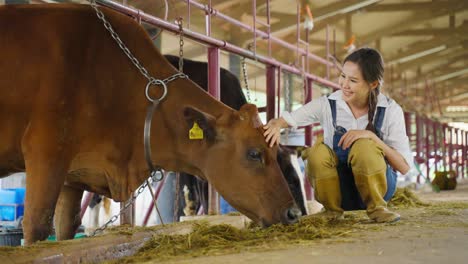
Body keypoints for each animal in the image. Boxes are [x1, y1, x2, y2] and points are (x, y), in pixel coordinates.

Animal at [0, 3, 300, 244]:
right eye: (254, 153)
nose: (294, 213)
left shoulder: (73, 174)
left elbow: (66, 227)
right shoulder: (46, 153)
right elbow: (38, 225)